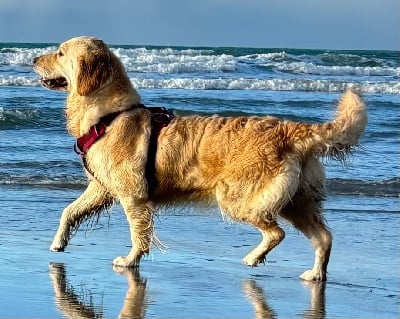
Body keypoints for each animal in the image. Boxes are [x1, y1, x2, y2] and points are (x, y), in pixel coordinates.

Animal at [32, 36, 368, 282]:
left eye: (60, 53)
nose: (33, 59)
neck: (109, 115)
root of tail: (293, 129)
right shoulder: (101, 188)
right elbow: (68, 212)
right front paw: (58, 242)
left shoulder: (133, 196)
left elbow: (139, 234)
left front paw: (130, 261)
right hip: (297, 200)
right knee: (324, 237)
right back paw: (314, 274)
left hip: (238, 197)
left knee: (277, 232)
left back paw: (253, 257)